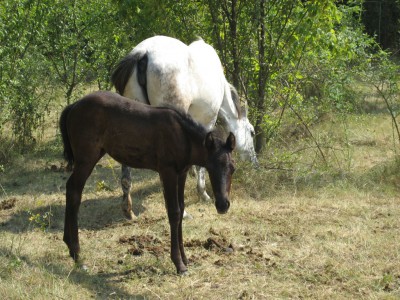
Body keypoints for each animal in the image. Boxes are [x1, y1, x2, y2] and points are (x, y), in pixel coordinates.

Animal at [111, 35, 258, 219]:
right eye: (251, 132)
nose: (255, 162)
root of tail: (143, 53)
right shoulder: (206, 123)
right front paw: (203, 193)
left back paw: (128, 210)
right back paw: (183, 213)